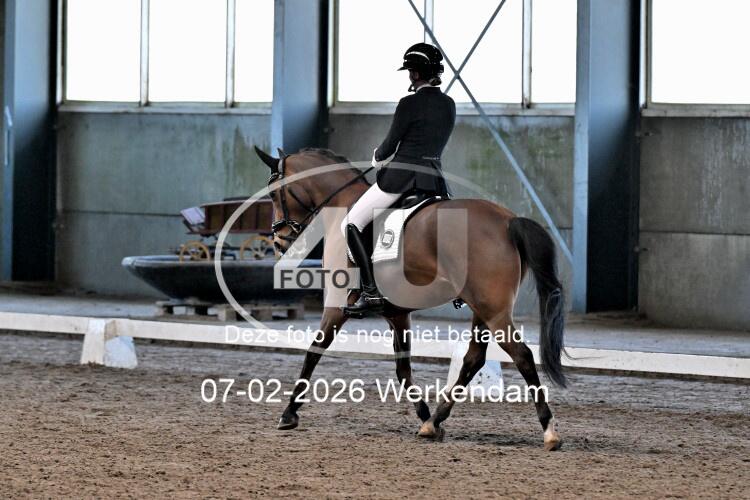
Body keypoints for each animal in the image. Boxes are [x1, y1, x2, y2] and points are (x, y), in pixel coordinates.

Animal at [254, 146, 566, 451]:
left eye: (274, 193)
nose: (279, 241)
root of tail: (508, 220)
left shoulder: (337, 306)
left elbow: (313, 352)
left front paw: (289, 413)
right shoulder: (397, 313)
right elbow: (403, 369)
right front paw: (424, 415)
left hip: (493, 310)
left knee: (522, 355)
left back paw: (549, 431)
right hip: (483, 309)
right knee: (473, 359)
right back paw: (434, 422)